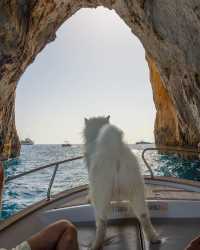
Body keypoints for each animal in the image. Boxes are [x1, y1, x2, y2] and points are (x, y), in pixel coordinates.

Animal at [83, 116, 160, 249]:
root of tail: (115, 150)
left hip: (101, 195)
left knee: (101, 222)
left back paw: (96, 244)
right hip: (136, 188)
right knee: (144, 215)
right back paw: (153, 238)